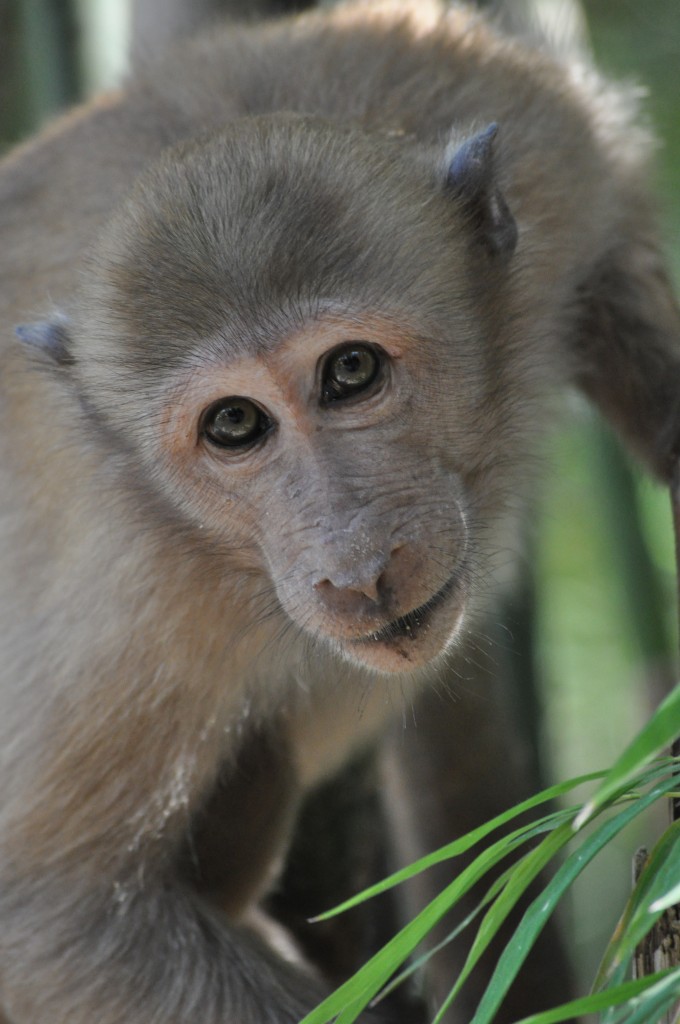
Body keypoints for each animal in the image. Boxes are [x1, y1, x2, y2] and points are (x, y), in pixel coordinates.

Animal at [1, 0, 680, 1019]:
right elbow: (46, 908)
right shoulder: (135, 608)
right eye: (234, 425)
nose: (359, 568)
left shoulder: (549, 148)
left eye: (351, 370)